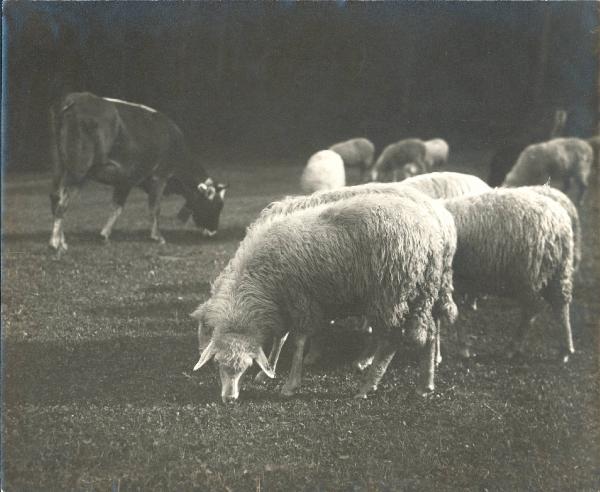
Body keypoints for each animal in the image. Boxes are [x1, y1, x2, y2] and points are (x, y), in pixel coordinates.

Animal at [48, 91, 227, 254]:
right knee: (62, 203)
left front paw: (104, 235)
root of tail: (75, 98)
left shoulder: (125, 180)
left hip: (59, 167)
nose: (213, 232)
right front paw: (157, 237)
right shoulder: (159, 177)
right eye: (217, 206)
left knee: (56, 198)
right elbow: (155, 208)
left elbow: (117, 208)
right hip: (78, 170)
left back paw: (61, 240)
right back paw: (56, 243)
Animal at [195, 192, 458, 400]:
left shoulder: (301, 300)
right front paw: (268, 369)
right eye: (218, 363)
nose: (229, 399)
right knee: (430, 332)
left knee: (391, 338)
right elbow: (280, 337)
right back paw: (425, 384)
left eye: (245, 365)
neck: (258, 278)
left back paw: (366, 386)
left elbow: (298, 340)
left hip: (390, 291)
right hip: (424, 291)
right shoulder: (284, 304)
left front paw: (290, 384)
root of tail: (432, 237)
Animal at [442, 187, 576, 362]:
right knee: (561, 306)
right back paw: (565, 350)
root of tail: (560, 221)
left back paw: (512, 348)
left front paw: (463, 348)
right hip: (558, 271)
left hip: (528, 275)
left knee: (532, 310)